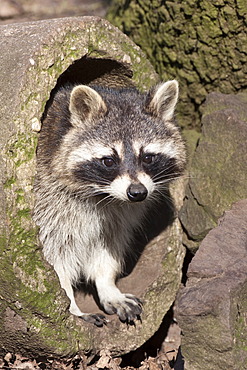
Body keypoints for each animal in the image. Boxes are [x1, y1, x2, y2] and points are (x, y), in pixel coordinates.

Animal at [33, 80, 186, 326]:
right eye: (108, 161)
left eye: (148, 157)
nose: (137, 193)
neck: (103, 195)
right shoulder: (48, 201)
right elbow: (54, 257)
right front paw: (71, 305)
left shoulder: (121, 214)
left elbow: (108, 246)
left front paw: (107, 285)